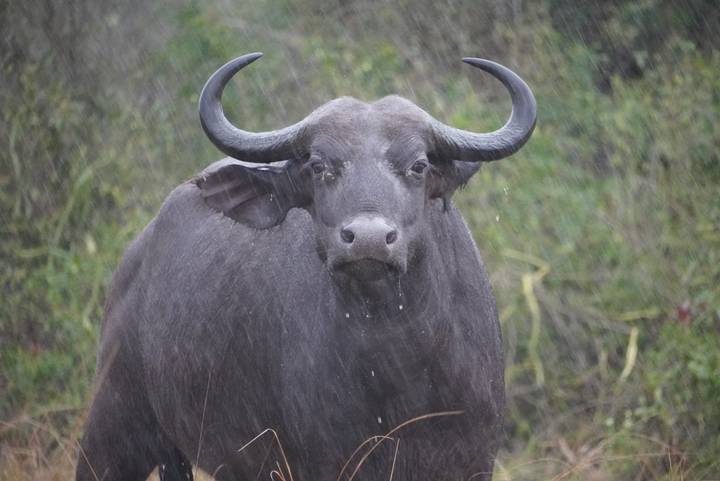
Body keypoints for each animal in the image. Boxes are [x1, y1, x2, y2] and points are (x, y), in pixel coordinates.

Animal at [75, 52, 536, 481]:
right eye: (319, 166)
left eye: (418, 166)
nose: (368, 239)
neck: (395, 365)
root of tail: (136, 256)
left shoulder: (472, 458)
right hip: (112, 423)